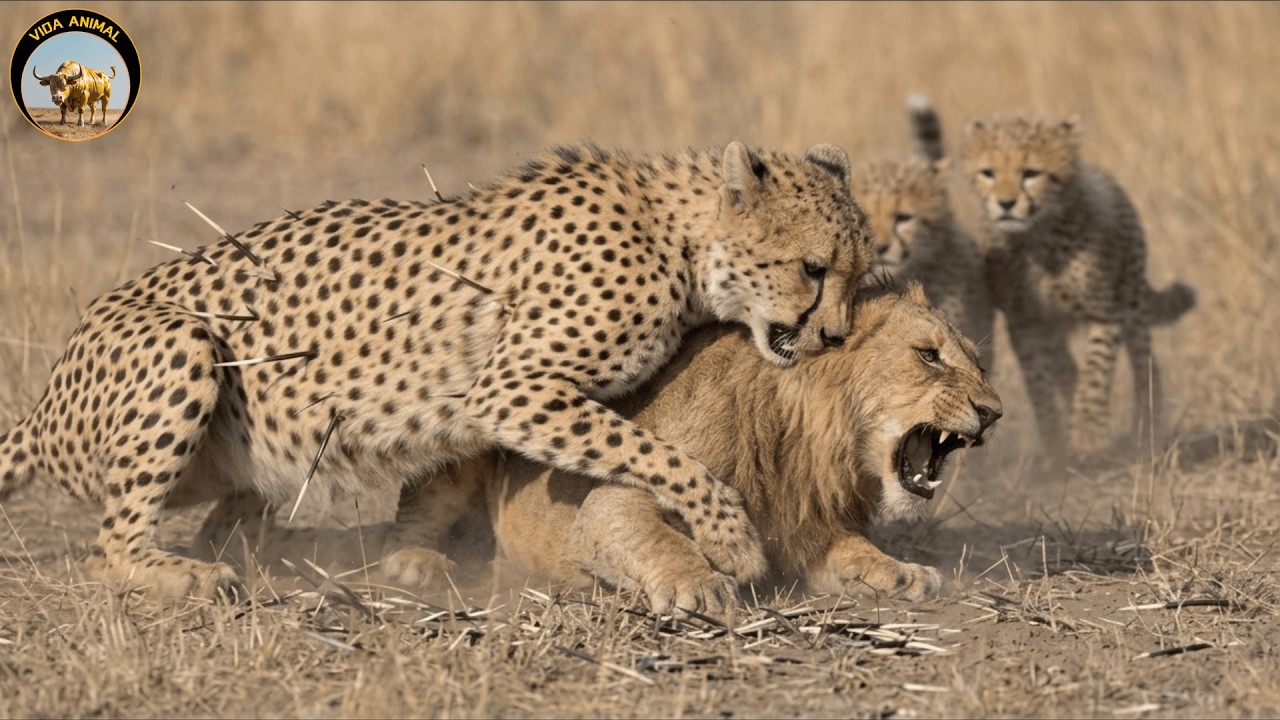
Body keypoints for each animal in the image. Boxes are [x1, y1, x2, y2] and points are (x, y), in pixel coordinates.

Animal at [0, 141, 873, 600]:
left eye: (859, 273)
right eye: (812, 268)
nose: (834, 335)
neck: (680, 240)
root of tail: (40, 407)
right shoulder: (512, 390)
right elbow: (661, 455)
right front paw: (731, 539)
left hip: (257, 457)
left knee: (224, 518)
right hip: (181, 342)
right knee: (108, 546)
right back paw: (187, 577)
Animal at [416, 281, 1002, 614]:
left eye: (978, 362)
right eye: (928, 355)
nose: (994, 412)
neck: (803, 443)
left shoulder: (807, 530)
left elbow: (855, 550)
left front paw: (902, 572)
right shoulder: (620, 497)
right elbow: (656, 536)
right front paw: (698, 585)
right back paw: (418, 565)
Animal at [960, 114, 1195, 459]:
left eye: (1031, 173)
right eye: (988, 172)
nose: (1005, 204)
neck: (1038, 235)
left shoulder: (1104, 313)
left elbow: (1095, 374)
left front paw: (1087, 434)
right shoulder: (1025, 322)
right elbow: (1040, 385)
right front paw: (1054, 443)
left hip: (1131, 298)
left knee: (1145, 364)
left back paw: (1145, 429)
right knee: (1067, 368)